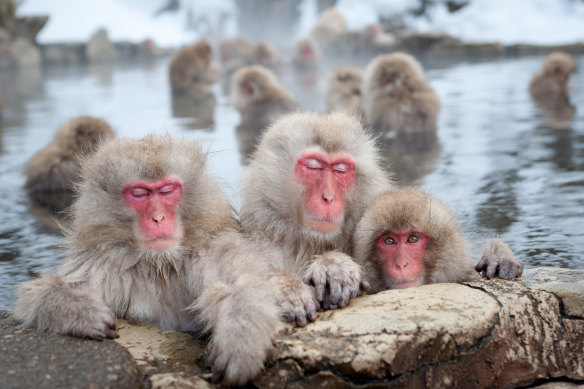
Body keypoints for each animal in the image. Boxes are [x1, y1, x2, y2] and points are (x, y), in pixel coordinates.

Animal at [14, 134, 280, 384]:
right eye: (139, 193)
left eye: (167, 190)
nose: (158, 218)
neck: (160, 264)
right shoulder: (102, 263)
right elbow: (36, 294)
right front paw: (81, 312)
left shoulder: (210, 250)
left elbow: (242, 283)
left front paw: (240, 341)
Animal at [240, 111, 394, 324]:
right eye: (313, 166)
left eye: (340, 169)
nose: (328, 197)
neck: (310, 242)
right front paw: (287, 288)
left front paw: (333, 266)